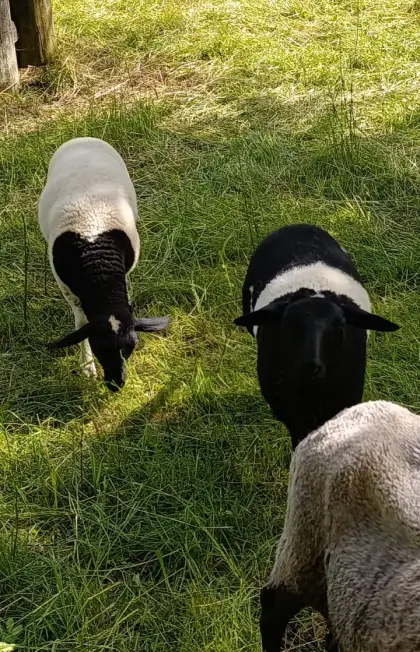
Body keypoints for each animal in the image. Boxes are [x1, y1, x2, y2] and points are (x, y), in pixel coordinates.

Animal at [39, 137, 170, 391]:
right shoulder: (67, 289)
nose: (116, 384)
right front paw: (87, 366)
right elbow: (80, 322)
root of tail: (83, 137)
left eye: (132, 346)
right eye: (98, 346)